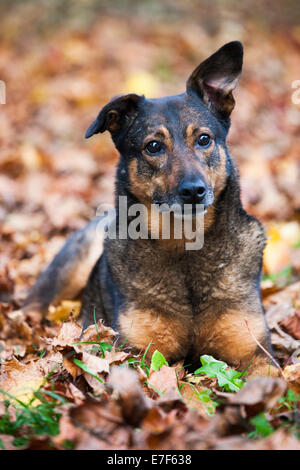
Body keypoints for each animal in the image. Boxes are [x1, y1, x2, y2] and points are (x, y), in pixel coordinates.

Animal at [24, 41, 278, 378]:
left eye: (204, 139)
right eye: (153, 146)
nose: (194, 191)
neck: (185, 243)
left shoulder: (254, 349)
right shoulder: (134, 351)